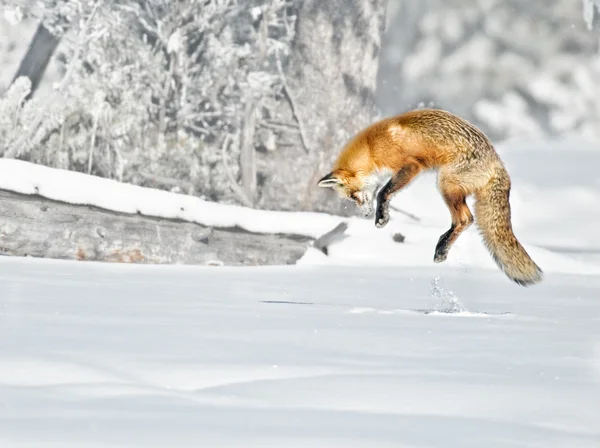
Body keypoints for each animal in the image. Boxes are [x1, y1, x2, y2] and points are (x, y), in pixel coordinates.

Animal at [318, 107, 544, 286]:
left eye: (353, 196)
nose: (365, 215)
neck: (372, 148)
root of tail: (497, 162)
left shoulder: (411, 165)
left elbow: (383, 192)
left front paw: (381, 217)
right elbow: (385, 193)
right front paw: (383, 215)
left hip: (445, 183)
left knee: (465, 219)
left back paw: (442, 248)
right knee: (465, 220)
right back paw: (442, 245)